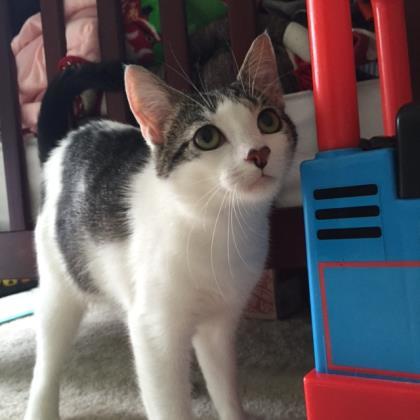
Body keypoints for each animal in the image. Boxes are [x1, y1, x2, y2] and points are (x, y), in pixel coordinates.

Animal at [24, 33, 296, 420]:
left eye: (268, 120)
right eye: (207, 138)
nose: (259, 153)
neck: (218, 227)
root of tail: (69, 139)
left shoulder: (218, 327)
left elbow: (223, 384)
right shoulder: (155, 328)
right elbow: (169, 402)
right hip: (60, 285)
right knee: (47, 357)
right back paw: (41, 407)